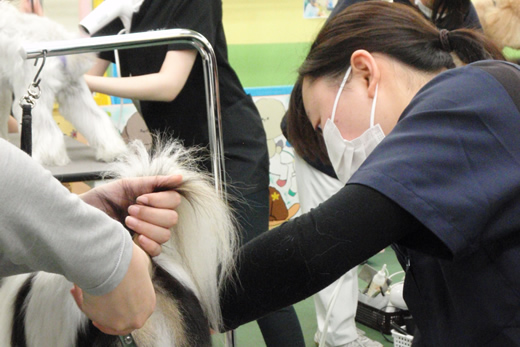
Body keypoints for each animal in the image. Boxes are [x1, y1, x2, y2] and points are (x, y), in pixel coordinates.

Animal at [0, 1, 128, 167]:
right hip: (75, 93)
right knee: (97, 119)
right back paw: (112, 151)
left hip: (32, 97)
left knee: (48, 131)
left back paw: (46, 158)